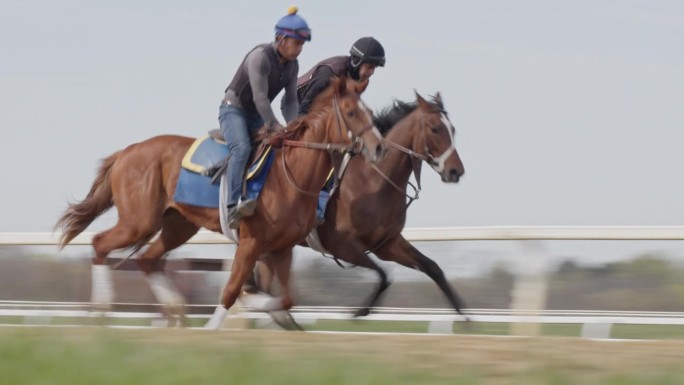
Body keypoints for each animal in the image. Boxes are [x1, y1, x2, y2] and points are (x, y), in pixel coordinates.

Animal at [55, 76, 382, 322]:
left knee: (147, 259)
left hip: (178, 225)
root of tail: (126, 151)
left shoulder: (282, 248)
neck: (293, 174)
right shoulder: (251, 241)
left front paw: (264, 307)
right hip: (139, 221)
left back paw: (174, 307)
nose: (378, 147)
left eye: (370, 112)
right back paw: (102, 307)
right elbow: (231, 291)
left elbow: (286, 299)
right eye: (351, 113)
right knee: (100, 244)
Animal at [254, 92, 468, 320]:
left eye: (453, 129)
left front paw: (464, 316)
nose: (456, 171)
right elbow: (384, 274)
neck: (372, 180)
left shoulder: (387, 243)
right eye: (435, 128)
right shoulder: (340, 244)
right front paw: (360, 310)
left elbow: (432, 267)